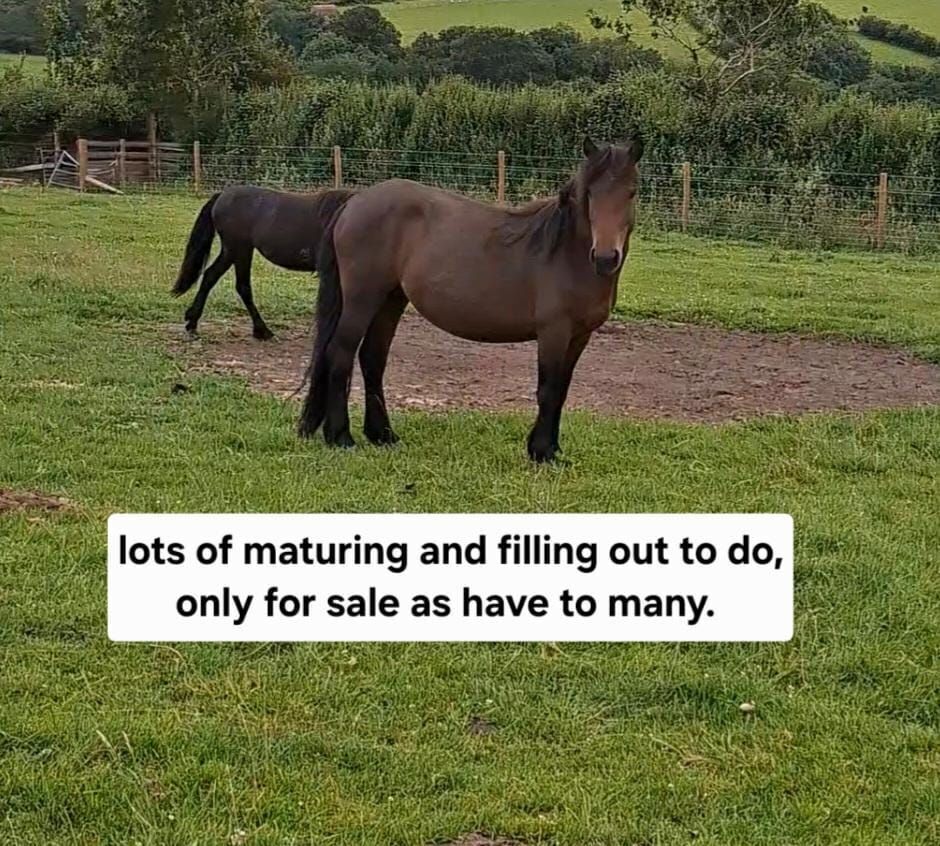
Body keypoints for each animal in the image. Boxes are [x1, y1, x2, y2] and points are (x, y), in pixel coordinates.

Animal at [171, 184, 354, 339]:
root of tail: (223, 194)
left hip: (232, 251)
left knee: (210, 276)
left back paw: (192, 322)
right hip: (239, 249)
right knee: (242, 286)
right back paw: (262, 330)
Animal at [297, 136, 643, 463]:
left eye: (632, 192)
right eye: (590, 194)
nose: (606, 258)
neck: (565, 252)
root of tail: (355, 200)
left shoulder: (579, 336)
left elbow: (562, 390)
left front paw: (553, 449)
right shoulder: (554, 332)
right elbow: (548, 389)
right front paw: (541, 451)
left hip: (390, 300)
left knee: (372, 359)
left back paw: (382, 434)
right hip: (362, 299)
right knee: (340, 353)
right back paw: (341, 436)